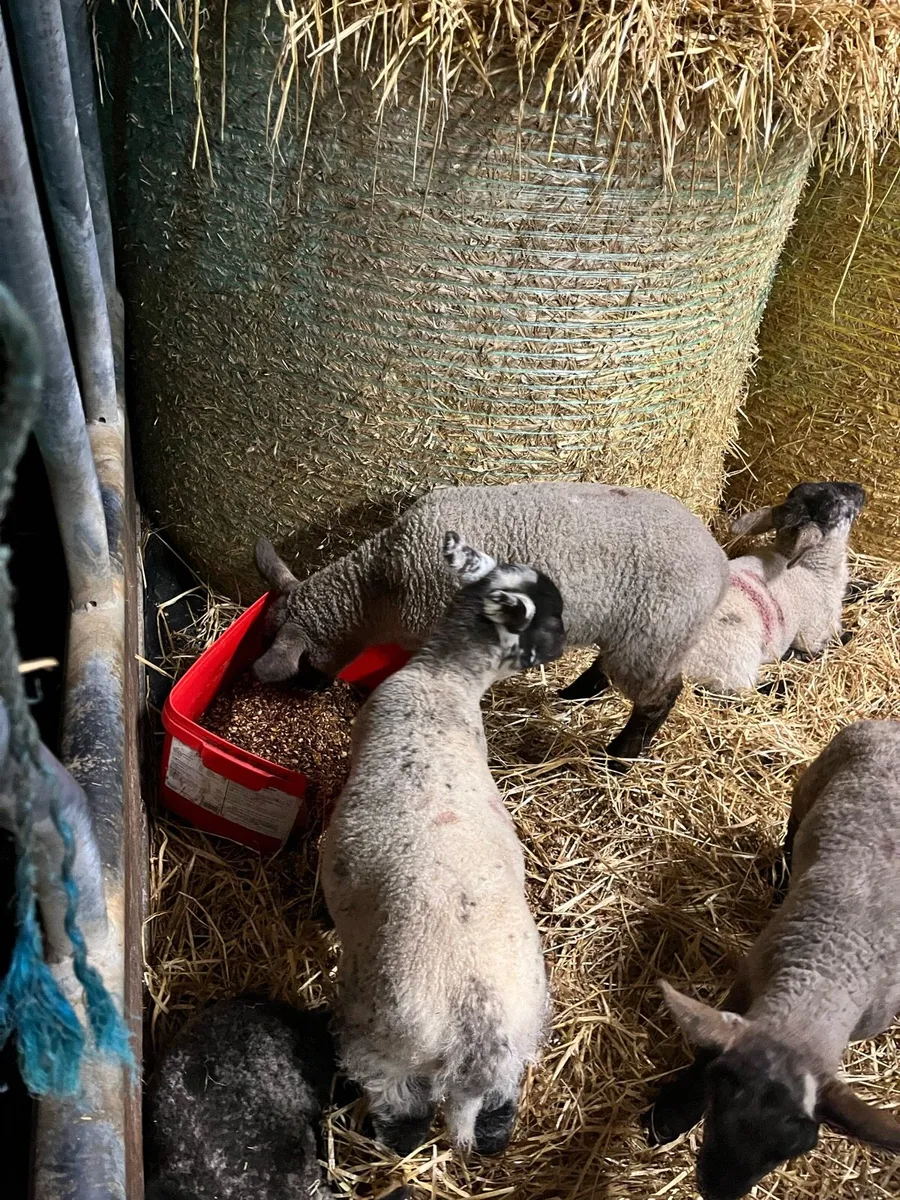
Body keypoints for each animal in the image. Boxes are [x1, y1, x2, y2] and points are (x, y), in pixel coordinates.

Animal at [253, 482, 729, 766]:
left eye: (303, 664)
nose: (305, 691)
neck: (378, 588)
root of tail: (719, 562)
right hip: (638, 632)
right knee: (609, 669)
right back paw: (574, 695)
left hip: (658, 629)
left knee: (660, 695)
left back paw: (620, 757)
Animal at [320, 533, 566, 1157]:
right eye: (552, 619)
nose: (565, 644)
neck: (443, 677)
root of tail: (473, 1031)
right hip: (516, 1044)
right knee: (496, 1114)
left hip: (385, 1041)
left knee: (401, 1112)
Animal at [643, 718, 900, 1200]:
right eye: (717, 1098)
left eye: (800, 1147)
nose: (719, 1192)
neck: (825, 977)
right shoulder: (746, 982)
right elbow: (705, 1050)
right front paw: (670, 1113)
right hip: (810, 784)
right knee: (793, 828)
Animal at [682, 481, 866, 693]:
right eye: (834, 502)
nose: (860, 489)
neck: (814, 570)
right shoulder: (814, 635)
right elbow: (837, 640)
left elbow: (858, 590)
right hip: (732, 659)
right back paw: (784, 686)